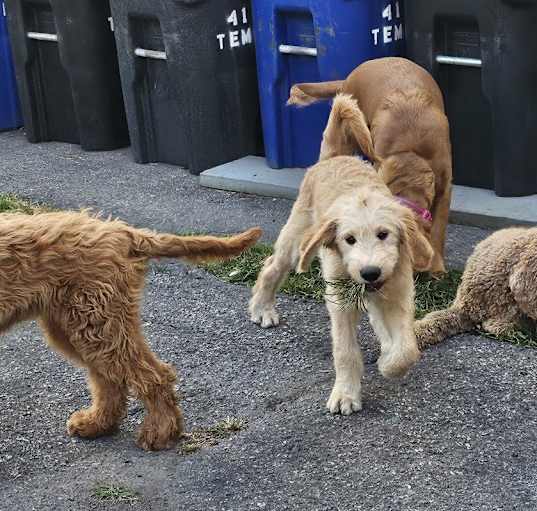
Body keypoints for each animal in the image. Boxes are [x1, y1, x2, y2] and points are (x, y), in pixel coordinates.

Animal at [0, 212, 260, 452]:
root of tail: (122, 232)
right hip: (80, 326)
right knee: (110, 381)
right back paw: (97, 424)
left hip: (96, 322)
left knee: (152, 375)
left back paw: (159, 433)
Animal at [249, 157, 434, 416]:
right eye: (349, 239)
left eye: (383, 234)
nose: (370, 272)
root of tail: (334, 158)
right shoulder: (340, 302)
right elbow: (345, 351)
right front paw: (346, 393)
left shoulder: (397, 293)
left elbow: (407, 349)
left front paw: (389, 364)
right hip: (297, 239)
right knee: (271, 267)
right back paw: (262, 308)